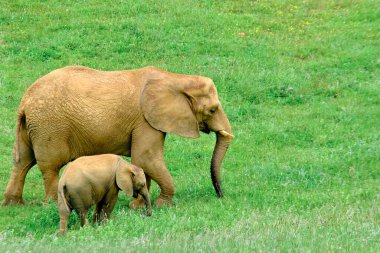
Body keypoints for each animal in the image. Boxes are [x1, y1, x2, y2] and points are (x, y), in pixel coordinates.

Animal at [2, 65, 235, 208]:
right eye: (213, 110)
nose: (221, 196)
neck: (176, 78)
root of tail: (25, 102)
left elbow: (144, 162)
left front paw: (138, 206)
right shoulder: (145, 120)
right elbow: (146, 158)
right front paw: (162, 205)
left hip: (31, 127)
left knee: (22, 161)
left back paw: (15, 205)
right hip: (49, 126)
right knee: (49, 166)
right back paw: (51, 204)